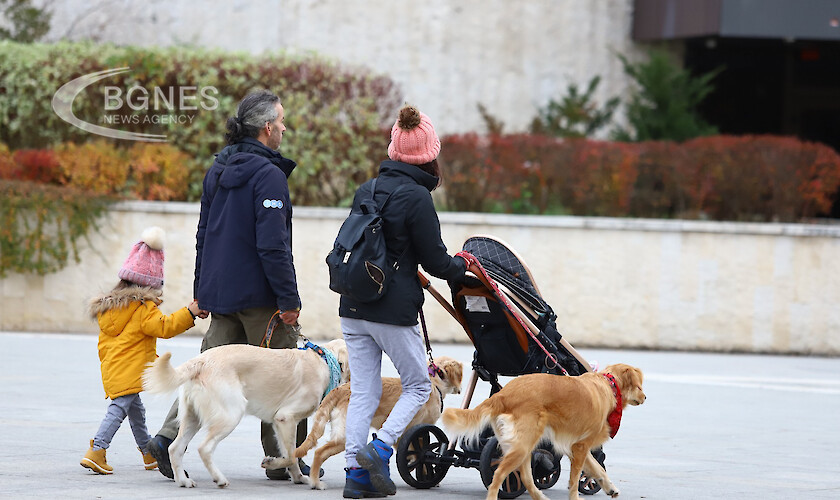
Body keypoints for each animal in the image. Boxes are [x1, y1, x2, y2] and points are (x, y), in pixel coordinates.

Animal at [143, 340, 346, 488]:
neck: (324, 361)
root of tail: (200, 361)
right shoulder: (286, 417)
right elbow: (291, 455)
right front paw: (271, 464)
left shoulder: (279, 422)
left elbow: (291, 455)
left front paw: (298, 477)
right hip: (231, 414)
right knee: (204, 448)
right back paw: (219, 479)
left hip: (192, 418)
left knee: (174, 448)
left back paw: (183, 481)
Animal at [294, 356, 466, 488]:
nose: (460, 389)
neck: (433, 383)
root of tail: (339, 390)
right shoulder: (420, 429)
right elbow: (422, 455)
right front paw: (427, 477)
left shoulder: (401, 433)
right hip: (344, 435)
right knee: (319, 452)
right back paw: (316, 483)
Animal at [442, 364, 648, 500]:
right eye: (639, 386)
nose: (645, 397)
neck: (608, 385)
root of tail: (502, 394)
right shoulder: (581, 447)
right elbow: (575, 479)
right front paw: (576, 496)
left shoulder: (576, 446)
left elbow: (598, 469)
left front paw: (610, 488)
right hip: (523, 446)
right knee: (499, 475)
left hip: (524, 447)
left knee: (526, 477)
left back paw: (540, 497)